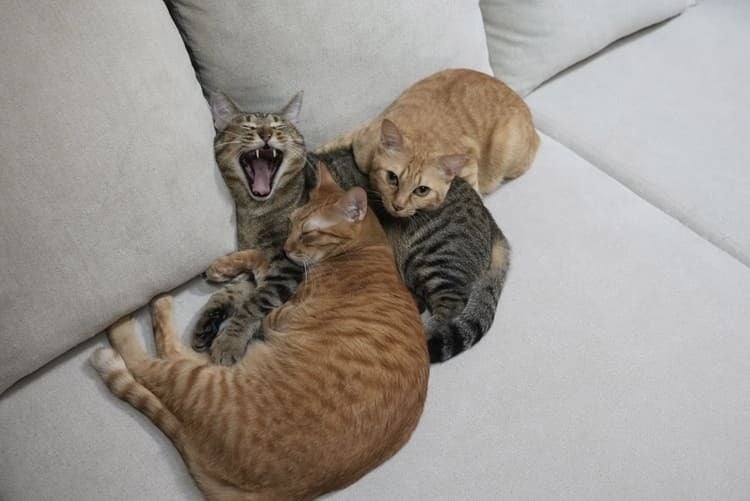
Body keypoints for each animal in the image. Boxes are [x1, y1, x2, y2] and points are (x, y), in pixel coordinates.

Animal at [90, 163, 429, 500]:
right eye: (291, 223)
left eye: (308, 232)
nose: (287, 247)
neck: (365, 248)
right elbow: (258, 261)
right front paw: (225, 268)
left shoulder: (281, 311)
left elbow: (261, 267)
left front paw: (228, 268)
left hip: (204, 381)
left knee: (154, 362)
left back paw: (133, 318)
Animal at [317, 68, 540, 218]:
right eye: (392, 178)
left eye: (421, 190)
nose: (398, 205)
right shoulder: (363, 136)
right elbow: (336, 141)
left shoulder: (469, 164)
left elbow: (474, 189)